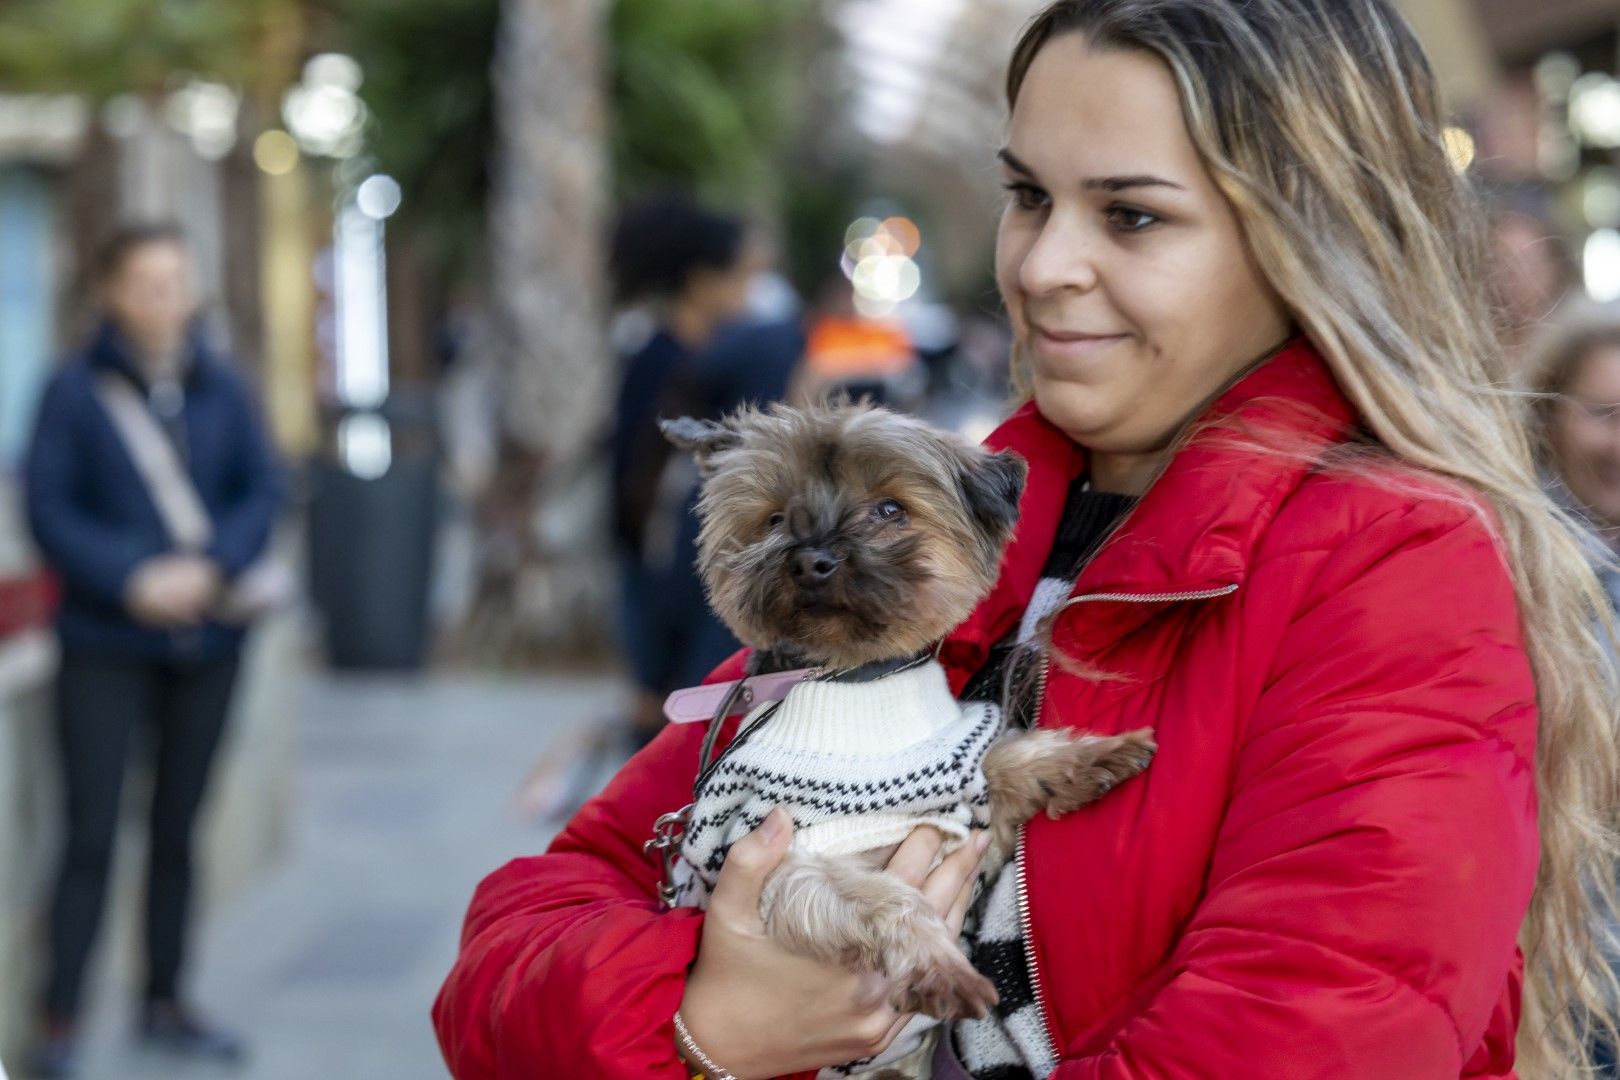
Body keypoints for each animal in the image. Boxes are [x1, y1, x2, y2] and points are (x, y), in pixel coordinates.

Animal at [660, 401, 1153, 1075]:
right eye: (774, 518)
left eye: (891, 510)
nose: (812, 560)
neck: (860, 683)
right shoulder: (788, 863)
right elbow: (880, 897)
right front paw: (940, 964)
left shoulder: (971, 816)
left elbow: (1007, 757)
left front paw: (1094, 757)